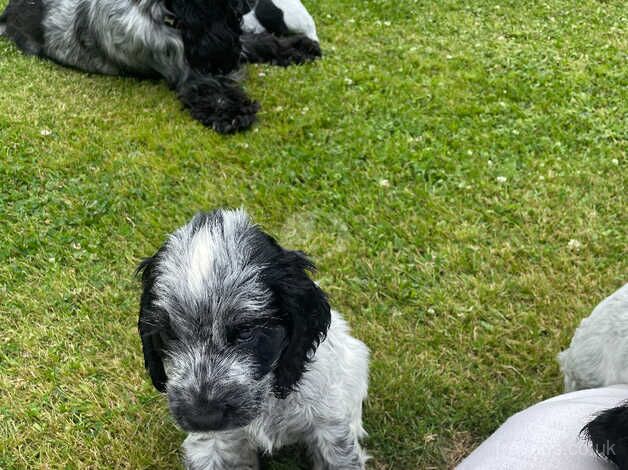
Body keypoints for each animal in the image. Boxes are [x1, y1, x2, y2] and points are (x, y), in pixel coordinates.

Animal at [0, 0, 322, 132]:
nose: (249, 4)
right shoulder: (191, 75)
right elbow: (213, 91)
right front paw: (233, 113)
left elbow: (259, 42)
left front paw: (300, 47)